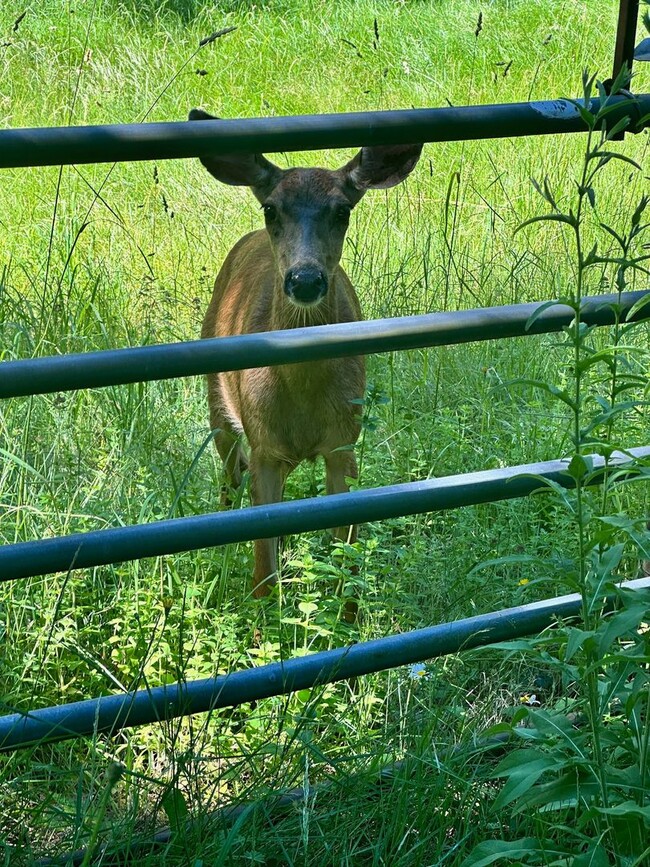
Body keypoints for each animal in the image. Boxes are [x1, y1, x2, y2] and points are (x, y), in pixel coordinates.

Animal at [189, 108, 420, 616]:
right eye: (271, 209)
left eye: (343, 210)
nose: (306, 279)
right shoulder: (264, 446)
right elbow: (263, 569)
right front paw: (261, 622)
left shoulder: (343, 442)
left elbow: (347, 551)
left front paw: (347, 617)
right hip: (217, 400)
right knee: (228, 479)